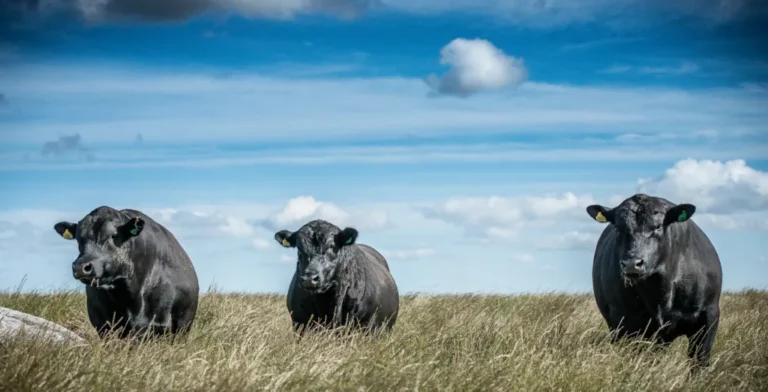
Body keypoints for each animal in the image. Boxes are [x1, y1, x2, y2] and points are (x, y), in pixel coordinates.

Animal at [588, 194, 720, 366]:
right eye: (618, 227)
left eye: (657, 227)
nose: (632, 263)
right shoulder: (624, 321)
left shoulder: (709, 317)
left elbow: (700, 361)